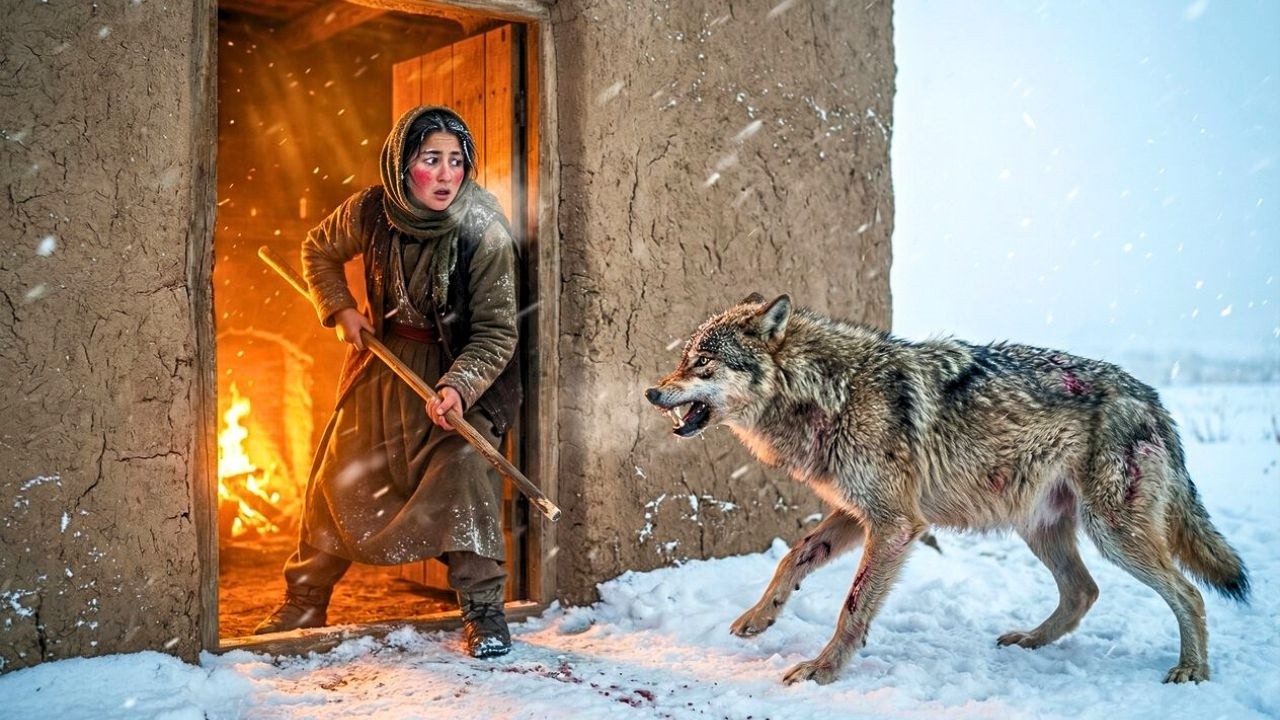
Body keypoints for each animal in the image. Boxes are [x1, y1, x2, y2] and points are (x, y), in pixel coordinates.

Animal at [645, 293, 1249, 686]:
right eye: (682, 359)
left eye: (702, 362)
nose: (652, 392)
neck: (827, 391)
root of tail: (1153, 398)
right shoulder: (857, 514)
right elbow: (792, 558)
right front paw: (758, 618)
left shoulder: (895, 525)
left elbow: (852, 606)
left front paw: (823, 670)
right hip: (1042, 530)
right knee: (1084, 592)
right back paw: (1029, 642)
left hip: (1113, 533)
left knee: (1189, 593)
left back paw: (1192, 670)